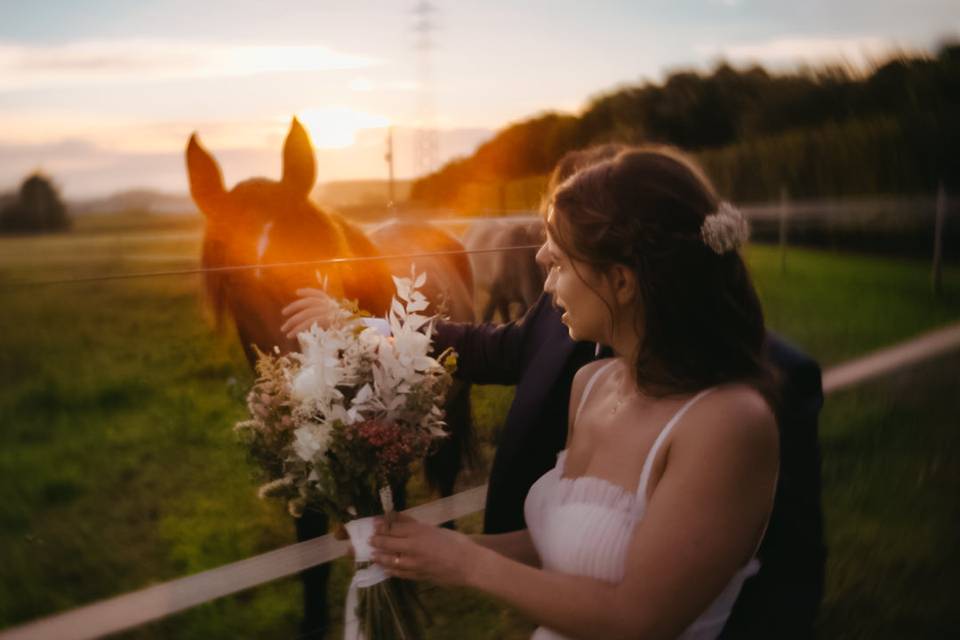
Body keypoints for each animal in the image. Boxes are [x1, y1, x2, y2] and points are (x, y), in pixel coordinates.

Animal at [186, 117, 474, 636]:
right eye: (233, 282)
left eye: (320, 258)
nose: (327, 387)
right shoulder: (304, 460)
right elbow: (311, 550)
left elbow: (391, 514)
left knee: (444, 472)